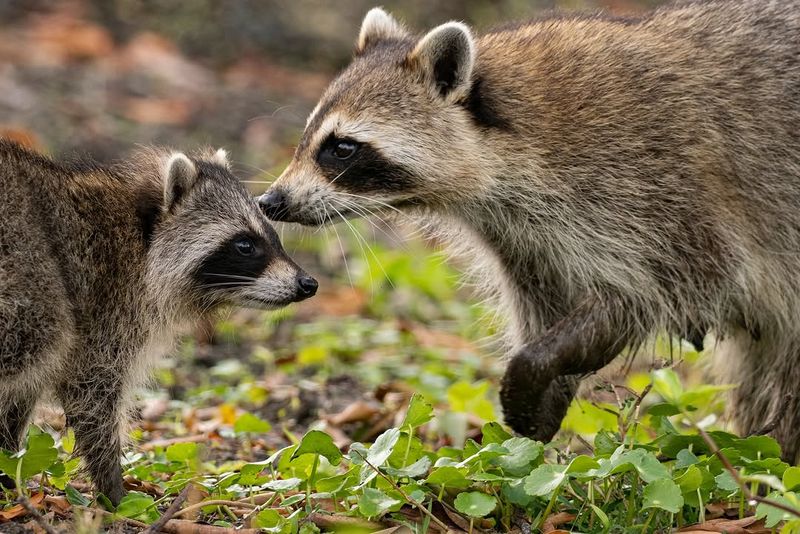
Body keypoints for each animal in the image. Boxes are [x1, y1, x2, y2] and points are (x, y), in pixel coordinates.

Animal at [0, 140, 318, 503]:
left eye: (272, 236)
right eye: (245, 244)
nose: (308, 284)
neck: (139, 239)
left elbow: (17, 402)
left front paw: (8, 468)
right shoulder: (102, 307)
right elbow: (92, 396)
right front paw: (113, 486)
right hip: (32, 282)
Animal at [259, 2, 800, 461]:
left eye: (341, 148)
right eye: (308, 138)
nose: (271, 202)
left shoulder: (665, 188)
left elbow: (667, 291)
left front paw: (538, 364)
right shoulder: (526, 240)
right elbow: (547, 305)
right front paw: (547, 394)